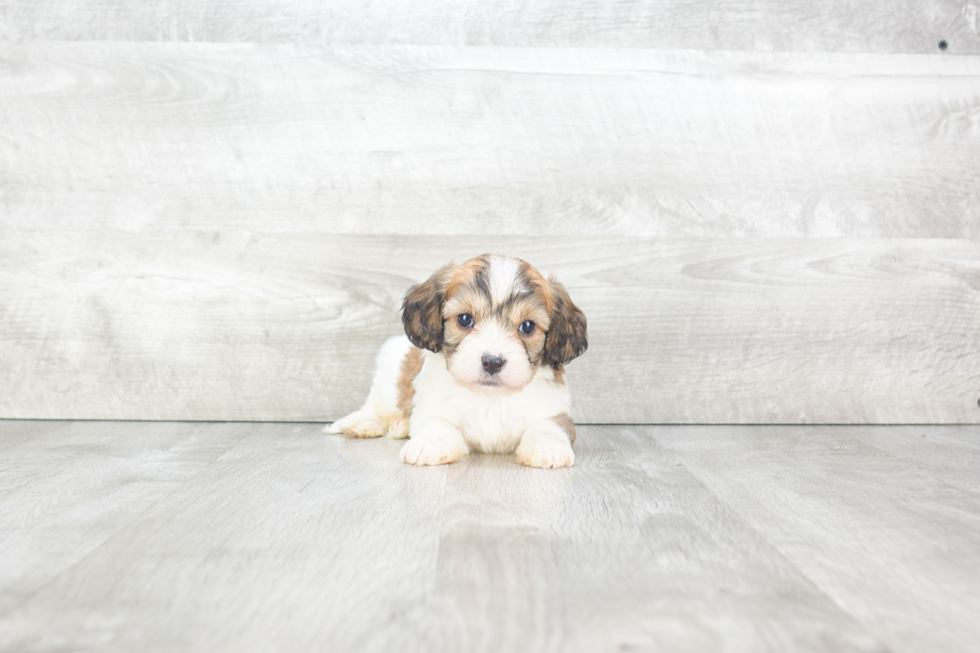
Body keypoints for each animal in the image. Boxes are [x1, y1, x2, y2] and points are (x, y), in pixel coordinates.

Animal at [326, 252, 584, 466]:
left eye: (528, 326)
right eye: (465, 319)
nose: (492, 362)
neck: (490, 398)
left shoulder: (555, 409)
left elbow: (550, 425)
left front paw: (547, 447)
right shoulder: (431, 406)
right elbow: (438, 423)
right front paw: (428, 444)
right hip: (389, 367)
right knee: (377, 405)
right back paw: (363, 423)